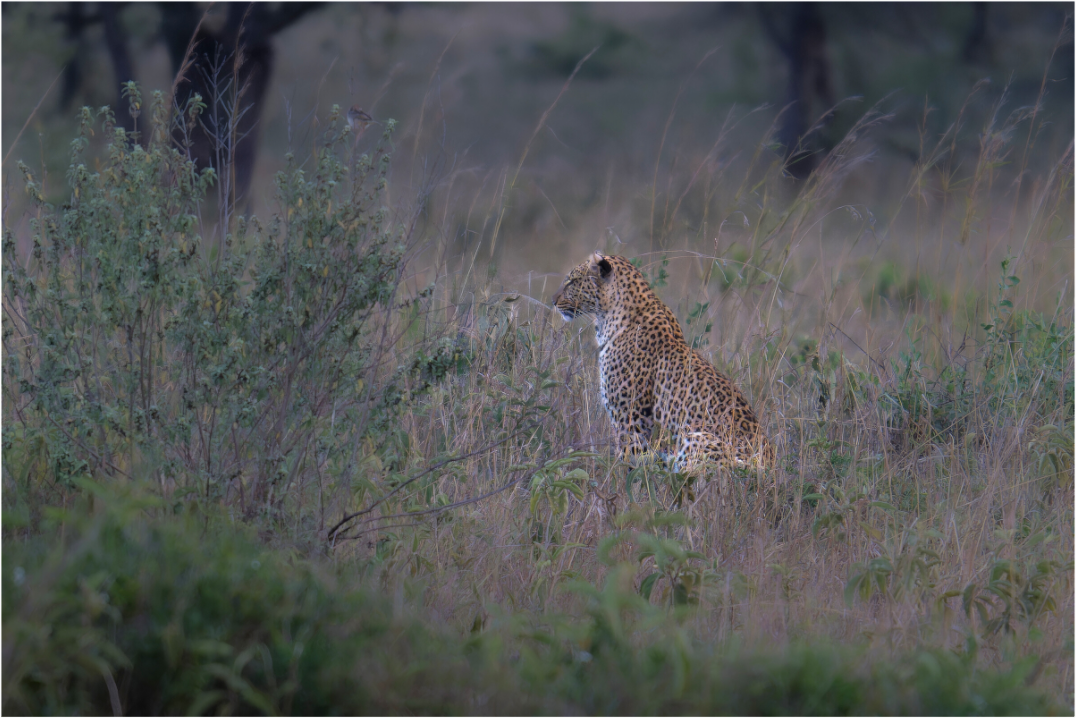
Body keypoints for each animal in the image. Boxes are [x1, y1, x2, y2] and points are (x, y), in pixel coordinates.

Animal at [552, 252, 775, 473]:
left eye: (572, 281)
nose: (553, 301)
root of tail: (768, 468)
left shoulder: (630, 420)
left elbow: (628, 464)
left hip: (697, 439)